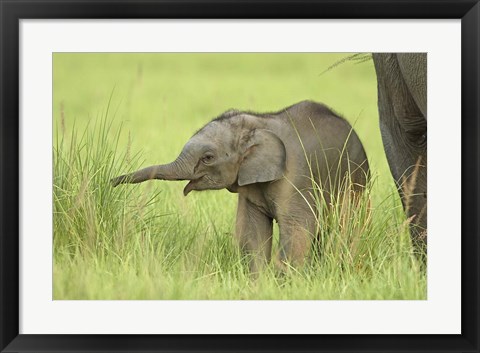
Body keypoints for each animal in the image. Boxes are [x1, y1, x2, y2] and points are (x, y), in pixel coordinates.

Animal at [111, 100, 368, 270]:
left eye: (208, 157)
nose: (111, 182)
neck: (258, 123)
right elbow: (252, 230)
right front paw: (259, 284)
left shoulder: (296, 176)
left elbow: (298, 227)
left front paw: (284, 284)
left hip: (356, 180)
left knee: (347, 225)